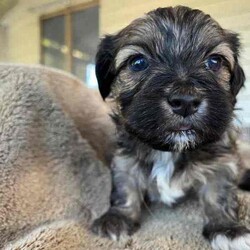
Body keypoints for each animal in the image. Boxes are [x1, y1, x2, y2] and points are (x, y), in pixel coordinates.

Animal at [92, 5, 250, 250]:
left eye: (215, 61)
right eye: (138, 63)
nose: (185, 100)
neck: (170, 150)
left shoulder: (222, 161)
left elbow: (218, 194)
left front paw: (227, 229)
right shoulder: (124, 158)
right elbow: (124, 186)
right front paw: (117, 218)